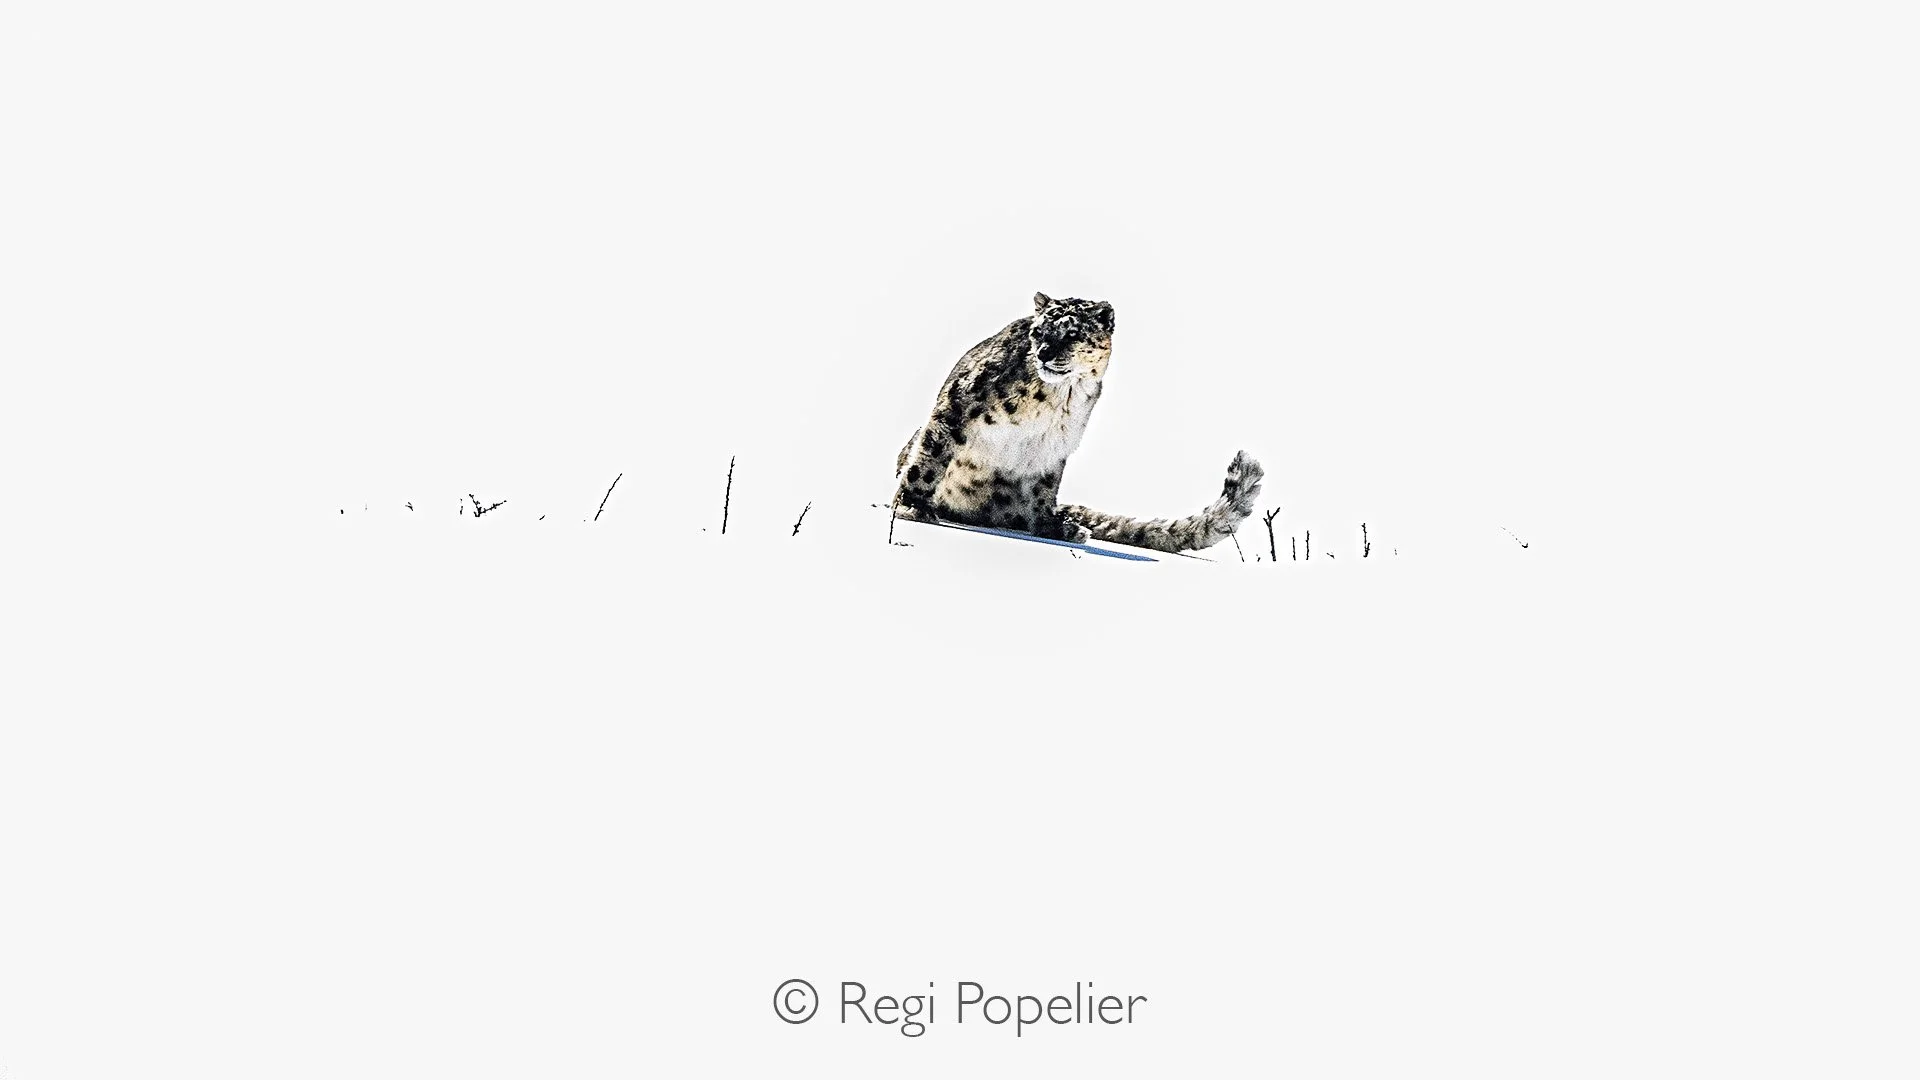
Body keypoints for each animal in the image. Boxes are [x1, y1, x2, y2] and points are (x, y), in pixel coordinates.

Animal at [892, 293, 1263, 554]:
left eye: (1071, 334)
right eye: (1037, 331)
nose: (1043, 352)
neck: (1055, 397)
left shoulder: (1054, 445)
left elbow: (1044, 487)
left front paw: (1049, 525)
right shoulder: (957, 405)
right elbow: (928, 460)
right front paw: (912, 506)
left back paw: (1066, 525)